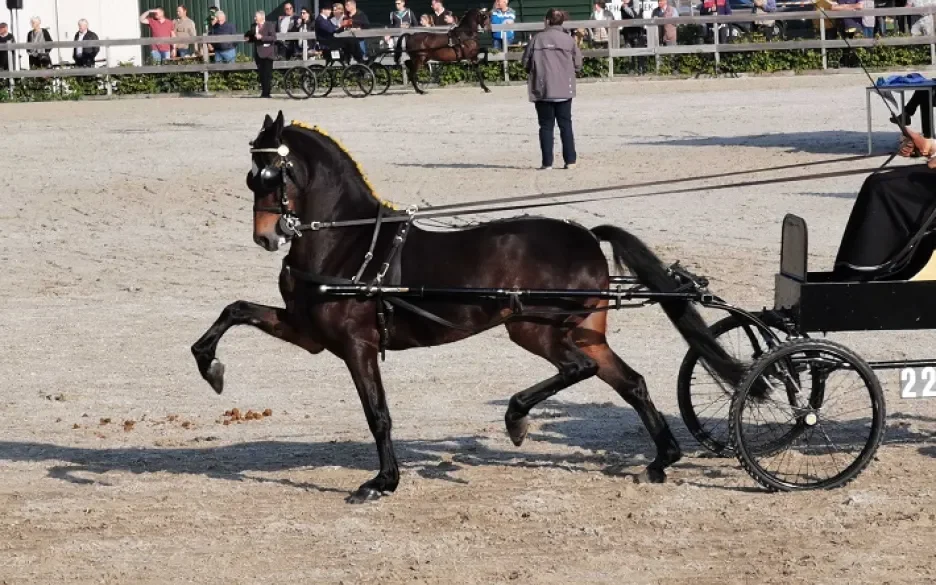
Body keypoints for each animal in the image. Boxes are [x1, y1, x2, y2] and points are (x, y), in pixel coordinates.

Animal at [188, 113, 744, 502]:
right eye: (250, 177)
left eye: (273, 173)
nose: (266, 237)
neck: (348, 243)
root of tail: (586, 235)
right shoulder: (307, 333)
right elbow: (234, 310)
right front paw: (210, 367)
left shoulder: (356, 345)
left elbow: (378, 414)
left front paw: (383, 481)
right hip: (583, 330)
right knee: (630, 382)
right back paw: (661, 459)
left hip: (534, 328)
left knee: (579, 369)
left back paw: (518, 418)